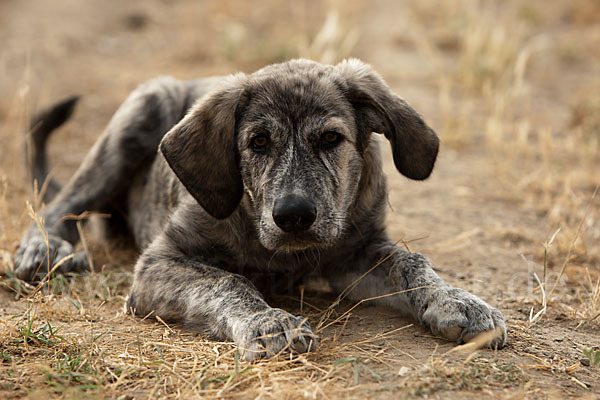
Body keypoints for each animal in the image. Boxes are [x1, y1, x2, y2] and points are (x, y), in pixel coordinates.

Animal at [12, 58, 506, 360]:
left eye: (331, 139)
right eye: (258, 142)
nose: (294, 216)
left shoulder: (357, 254)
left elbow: (411, 262)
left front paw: (457, 300)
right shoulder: (159, 263)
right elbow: (226, 281)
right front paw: (268, 321)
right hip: (138, 115)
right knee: (62, 203)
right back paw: (44, 251)